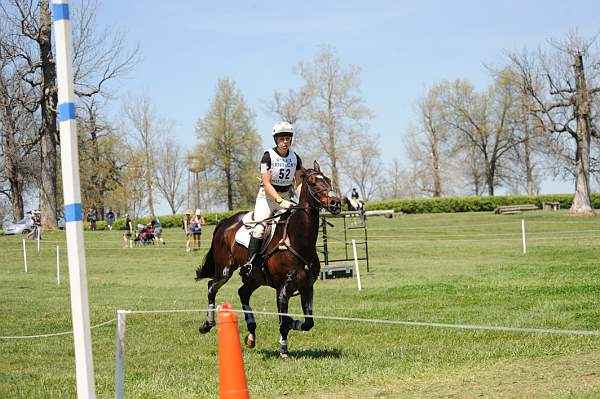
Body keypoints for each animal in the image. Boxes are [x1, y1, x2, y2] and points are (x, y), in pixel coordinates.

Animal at [195, 161, 340, 358]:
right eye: (312, 182)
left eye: (328, 180)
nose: (335, 203)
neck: (298, 240)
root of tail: (225, 222)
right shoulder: (283, 289)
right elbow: (284, 322)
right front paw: (284, 349)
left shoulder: (307, 287)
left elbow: (307, 323)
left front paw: (292, 324)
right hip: (225, 269)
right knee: (212, 286)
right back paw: (207, 324)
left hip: (255, 278)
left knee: (243, 293)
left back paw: (251, 333)